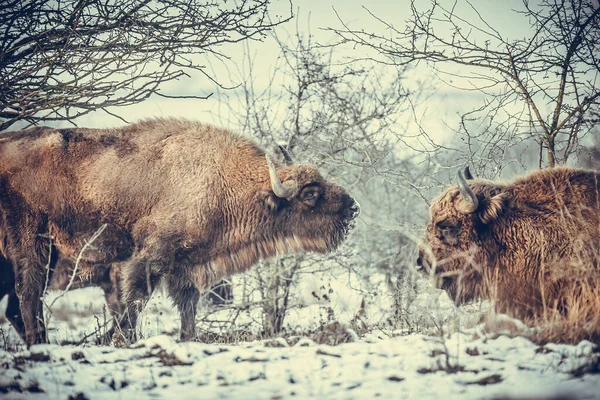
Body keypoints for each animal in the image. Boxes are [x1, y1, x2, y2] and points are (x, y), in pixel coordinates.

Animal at [0, 117, 358, 346]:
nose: (353, 208)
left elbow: (188, 307)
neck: (224, 180)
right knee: (28, 295)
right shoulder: (149, 258)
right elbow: (134, 302)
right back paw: (40, 347)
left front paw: (188, 339)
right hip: (33, 244)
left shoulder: (186, 267)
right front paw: (125, 341)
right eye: (310, 193)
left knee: (21, 303)